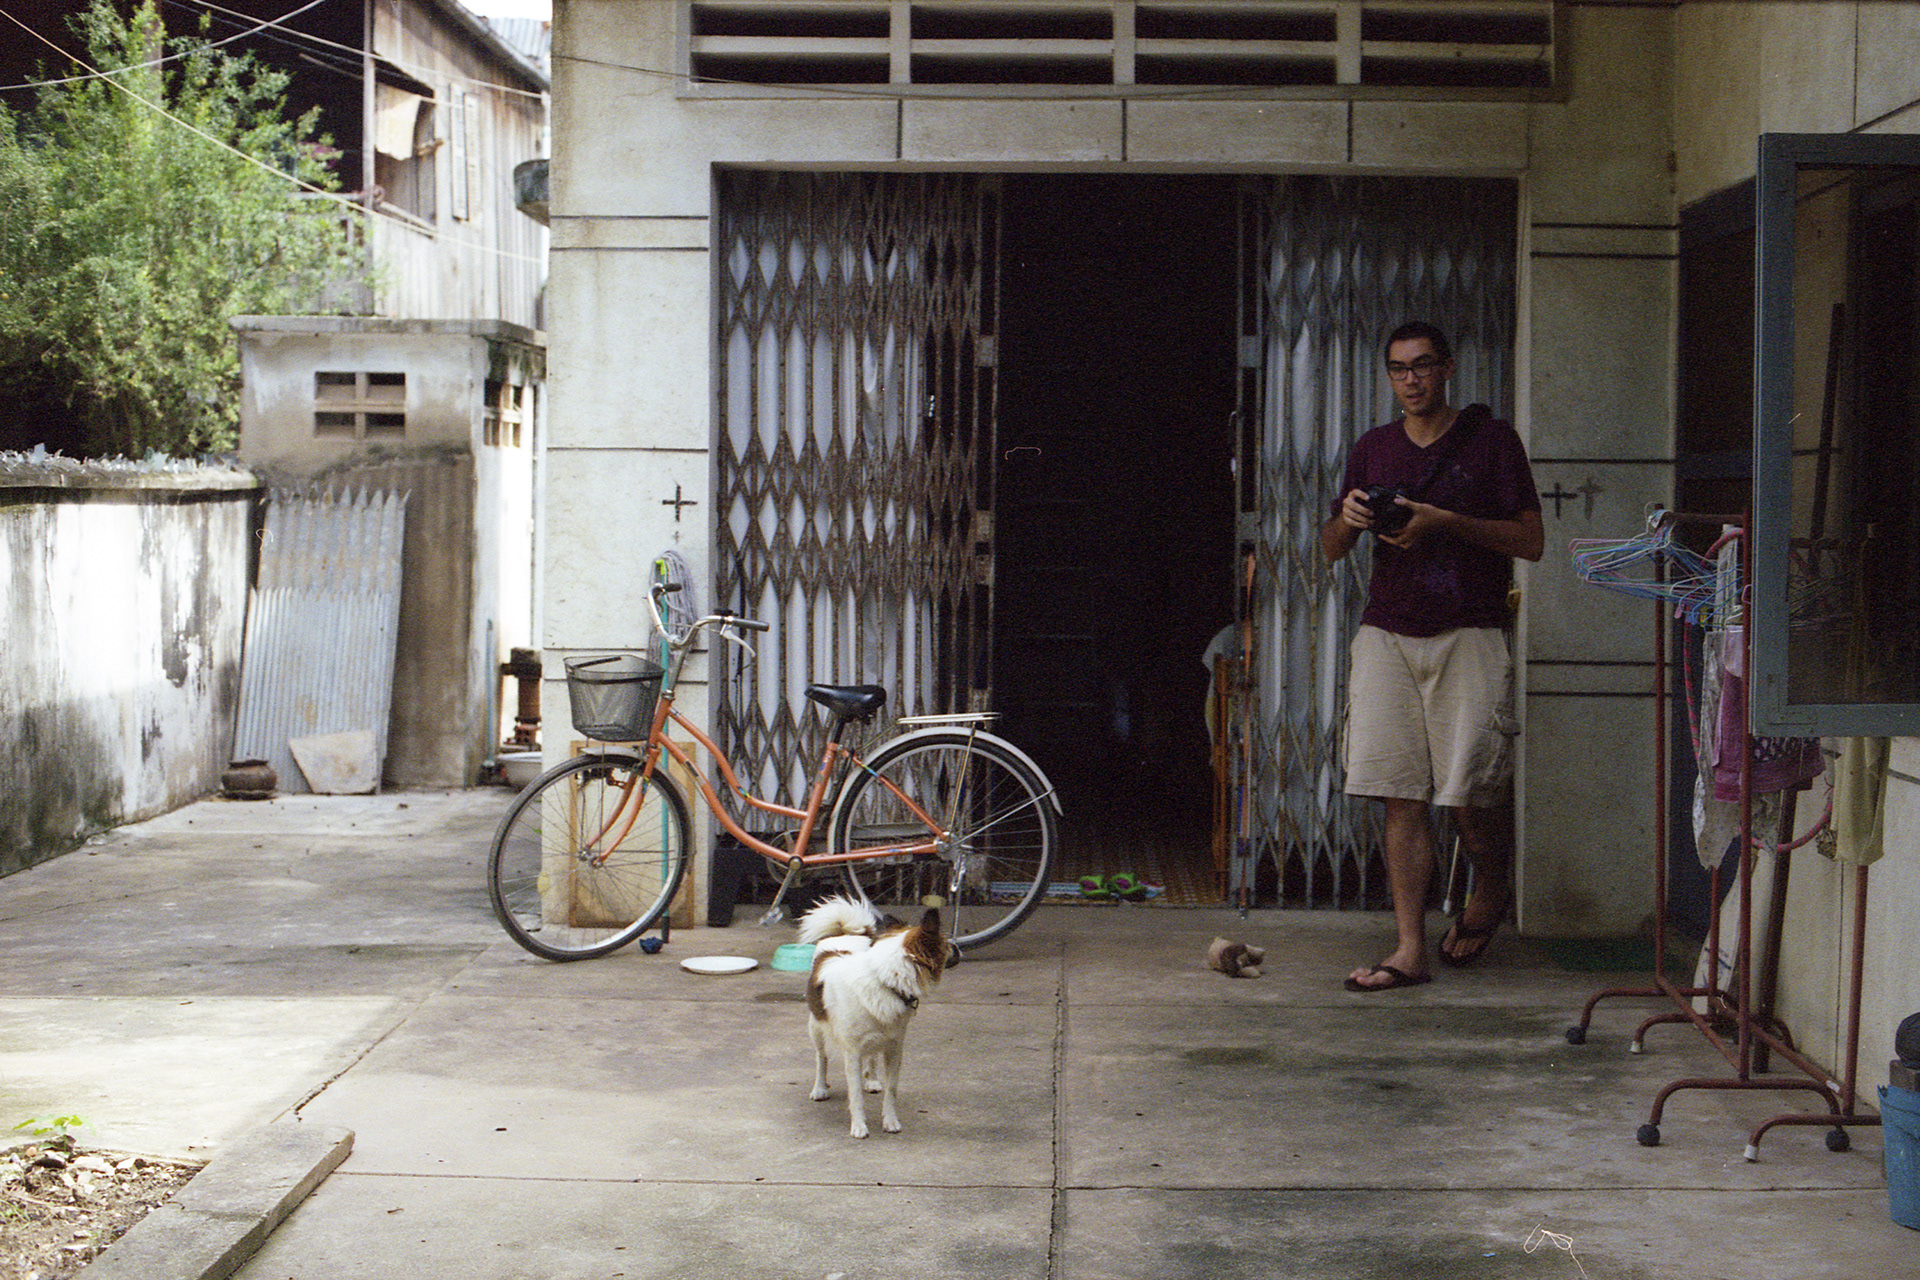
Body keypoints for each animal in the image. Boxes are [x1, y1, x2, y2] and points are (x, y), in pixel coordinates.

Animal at [798, 895, 947, 1138]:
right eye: (948, 945)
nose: (959, 949)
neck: (884, 982)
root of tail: (844, 933)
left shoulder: (894, 1048)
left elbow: (891, 1089)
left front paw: (890, 1120)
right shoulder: (852, 1052)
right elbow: (855, 1093)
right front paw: (859, 1126)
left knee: (871, 1056)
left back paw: (872, 1080)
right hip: (816, 1027)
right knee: (821, 1058)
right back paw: (820, 1088)